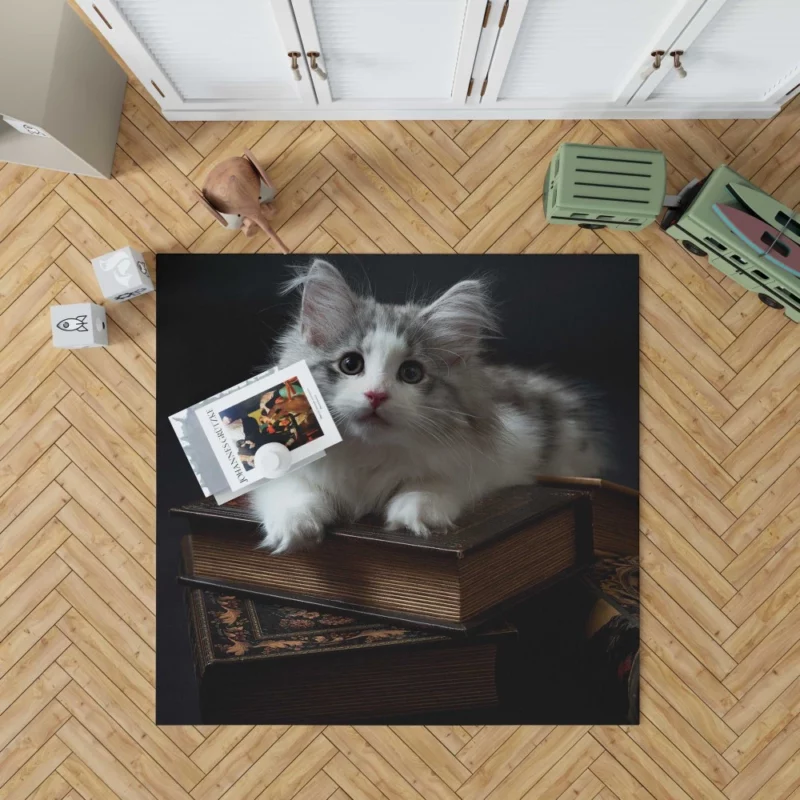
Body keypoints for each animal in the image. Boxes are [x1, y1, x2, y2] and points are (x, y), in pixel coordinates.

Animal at [253, 260, 604, 552]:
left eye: (411, 373)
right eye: (350, 364)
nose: (376, 395)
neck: (365, 453)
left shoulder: (501, 452)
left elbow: (438, 482)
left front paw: (416, 512)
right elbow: (287, 486)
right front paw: (295, 527)